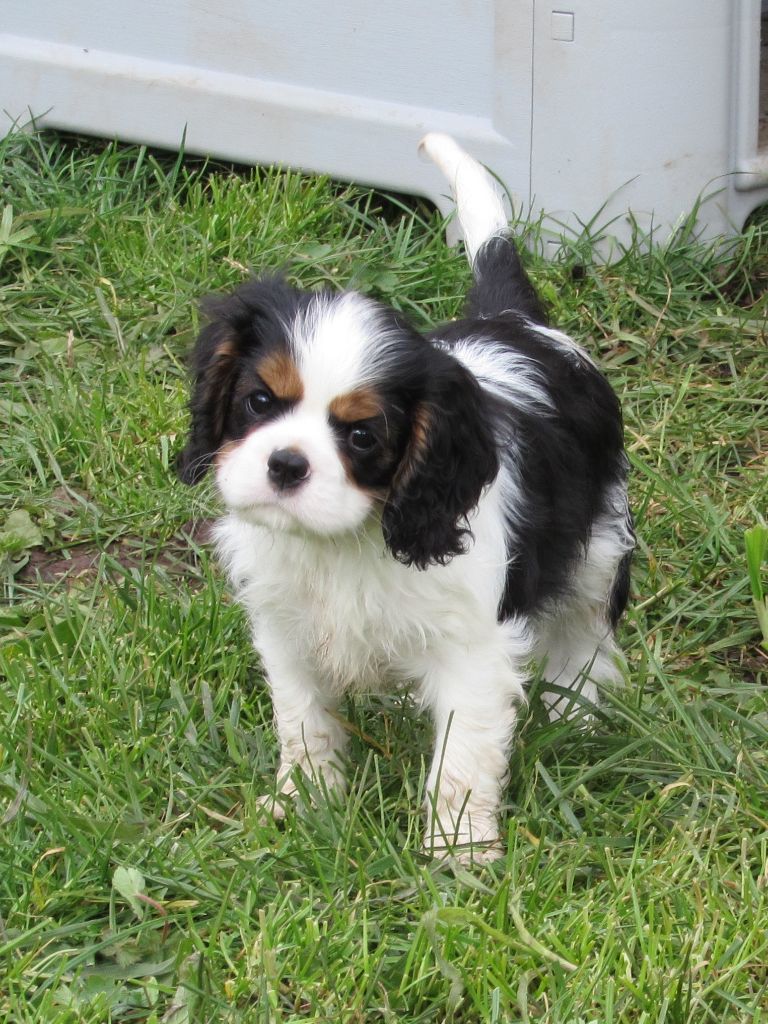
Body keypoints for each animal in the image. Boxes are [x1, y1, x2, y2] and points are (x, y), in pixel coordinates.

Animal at [177, 133, 635, 861]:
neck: (345, 541)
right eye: (259, 402)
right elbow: (303, 720)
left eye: (363, 436)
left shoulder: (472, 650)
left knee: (582, 634)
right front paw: (303, 805)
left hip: (599, 545)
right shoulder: (285, 628)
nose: (285, 464)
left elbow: (462, 758)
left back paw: (575, 711)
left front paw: (458, 852)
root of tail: (513, 319)